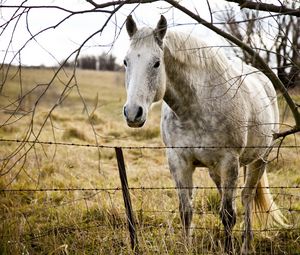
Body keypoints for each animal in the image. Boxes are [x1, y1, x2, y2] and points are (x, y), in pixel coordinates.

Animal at [121, 14, 286, 254]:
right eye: (126, 62)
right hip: (216, 170)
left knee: (246, 197)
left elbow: (228, 216)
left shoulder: (229, 162)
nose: (133, 113)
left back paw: (246, 245)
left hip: (259, 160)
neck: (195, 107)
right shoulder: (179, 161)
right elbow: (186, 211)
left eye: (157, 63)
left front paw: (230, 249)